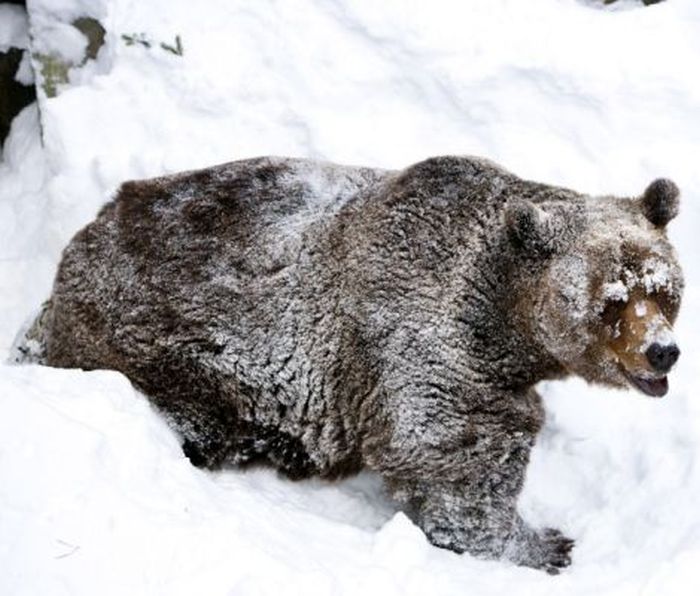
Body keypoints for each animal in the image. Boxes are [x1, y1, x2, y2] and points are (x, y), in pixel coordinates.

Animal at [13, 155, 684, 572]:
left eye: (664, 289)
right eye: (612, 300)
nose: (664, 351)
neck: (505, 325)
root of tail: (79, 244)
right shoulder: (427, 345)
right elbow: (456, 459)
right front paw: (542, 544)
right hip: (160, 342)